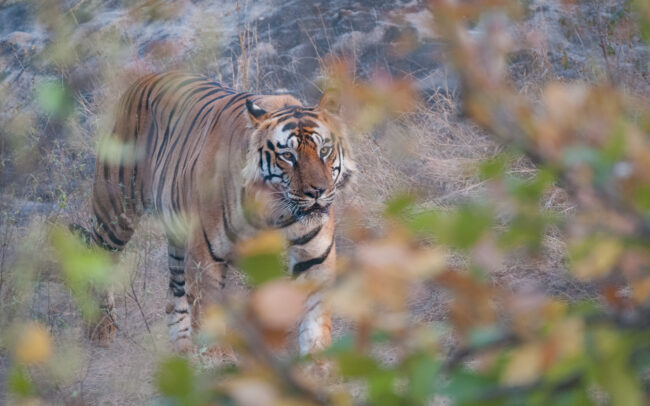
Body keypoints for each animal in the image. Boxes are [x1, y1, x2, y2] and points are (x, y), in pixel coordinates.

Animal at [73, 71, 355, 355]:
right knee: (97, 253)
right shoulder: (206, 263)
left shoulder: (314, 261)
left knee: (173, 295)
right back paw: (100, 328)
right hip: (116, 211)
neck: (276, 214)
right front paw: (217, 360)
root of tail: (147, 76)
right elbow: (211, 326)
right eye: (287, 155)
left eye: (324, 150)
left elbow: (315, 328)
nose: (317, 191)